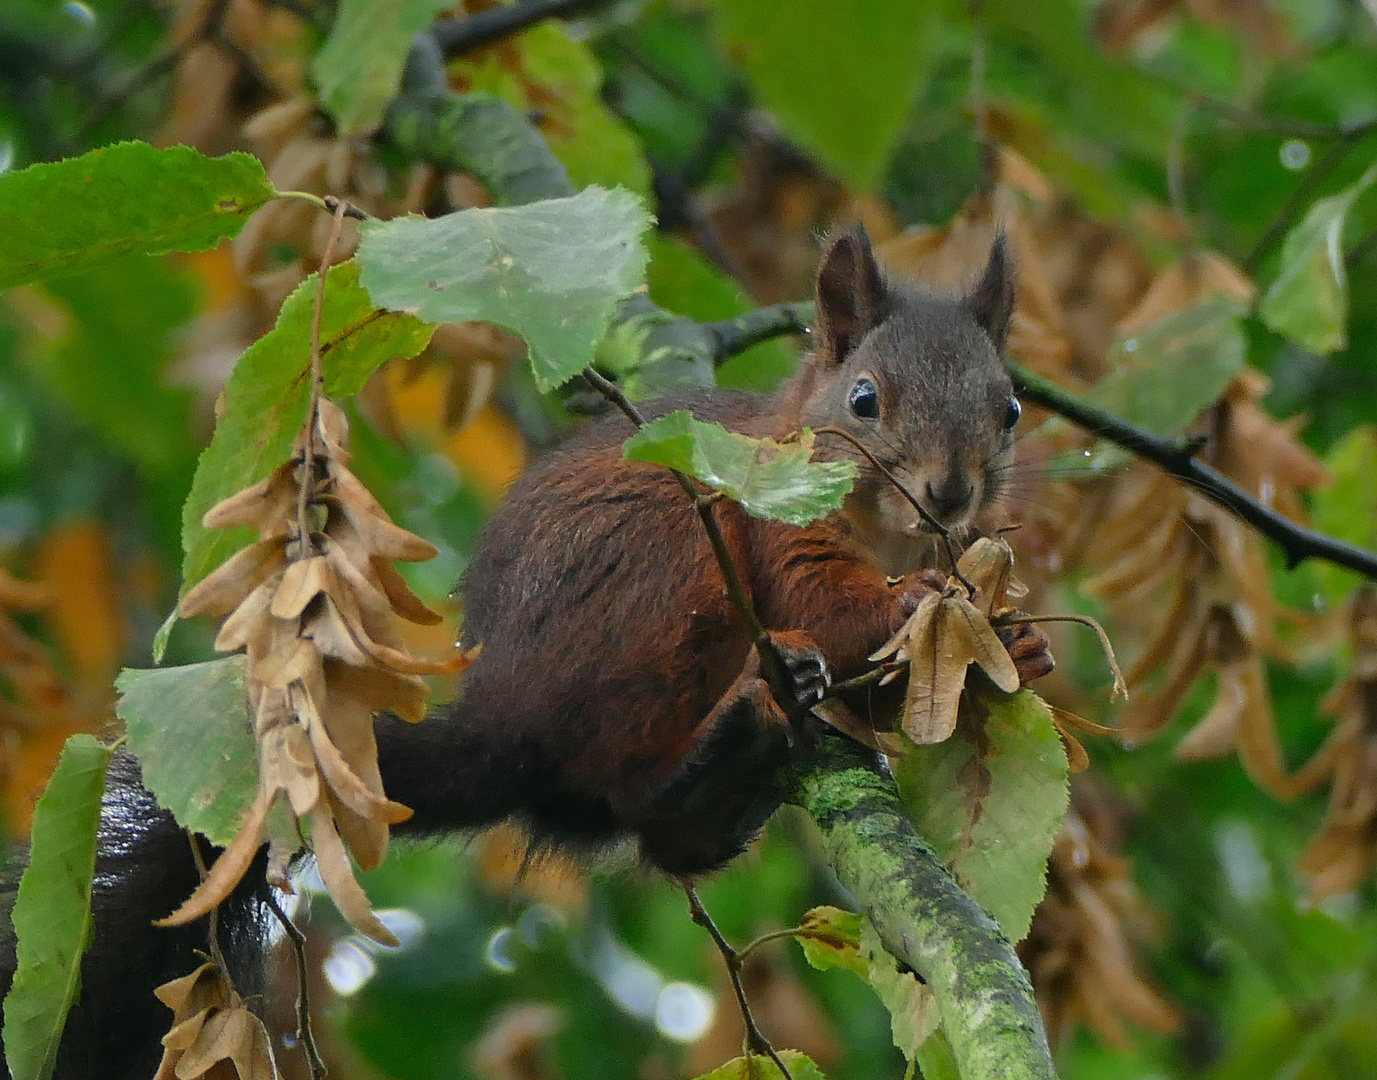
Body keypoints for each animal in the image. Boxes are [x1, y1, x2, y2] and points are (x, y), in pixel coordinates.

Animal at [2, 223, 1052, 1074]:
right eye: (865, 399)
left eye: (1008, 409)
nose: (950, 492)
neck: (887, 534)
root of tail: (505, 716)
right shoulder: (768, 522)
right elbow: (826, 602)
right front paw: (921, 603)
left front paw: (1021, 644)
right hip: (664, 577)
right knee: (628, 774)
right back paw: (755, 706)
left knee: (652, 828)